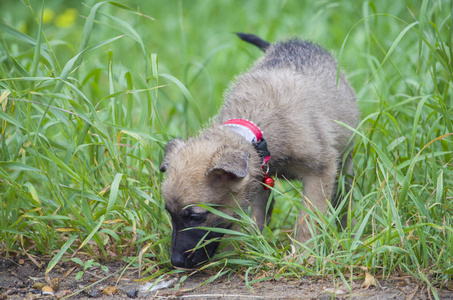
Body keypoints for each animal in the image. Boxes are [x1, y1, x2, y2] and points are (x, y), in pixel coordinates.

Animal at [159, 34, 360, 268]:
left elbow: (308, 219)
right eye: (169, 214)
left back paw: (349, 233)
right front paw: (243, 251)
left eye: (195, 217)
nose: (176, 261)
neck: (255, 130)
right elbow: (252, 220)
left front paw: (303, 255)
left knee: (346, 201)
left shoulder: (320, 171)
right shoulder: (258, 181)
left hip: (345, 166)